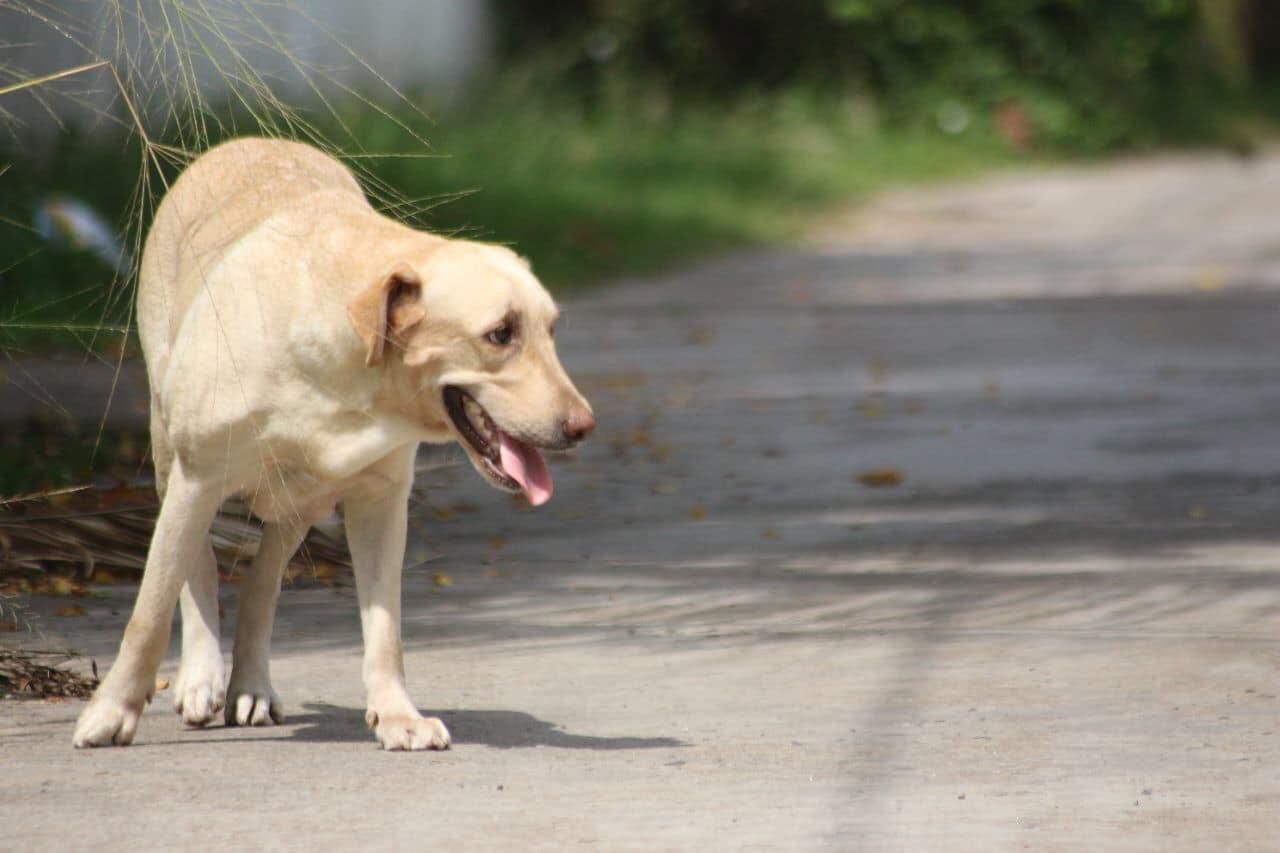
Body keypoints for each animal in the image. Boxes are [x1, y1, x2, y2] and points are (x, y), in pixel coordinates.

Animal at [77, 136, 596, 747]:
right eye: (500, 334)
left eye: (551, 330)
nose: (583, 426)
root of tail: (247, 141)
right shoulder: (196, 478)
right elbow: (150, 610)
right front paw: (112, 710)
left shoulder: (381, 500)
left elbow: (386, 629)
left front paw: (398, 715)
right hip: (167, 446)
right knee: (197, 565)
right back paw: (202, 676)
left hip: (301, 500)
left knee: (263, 579)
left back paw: (251, 683)